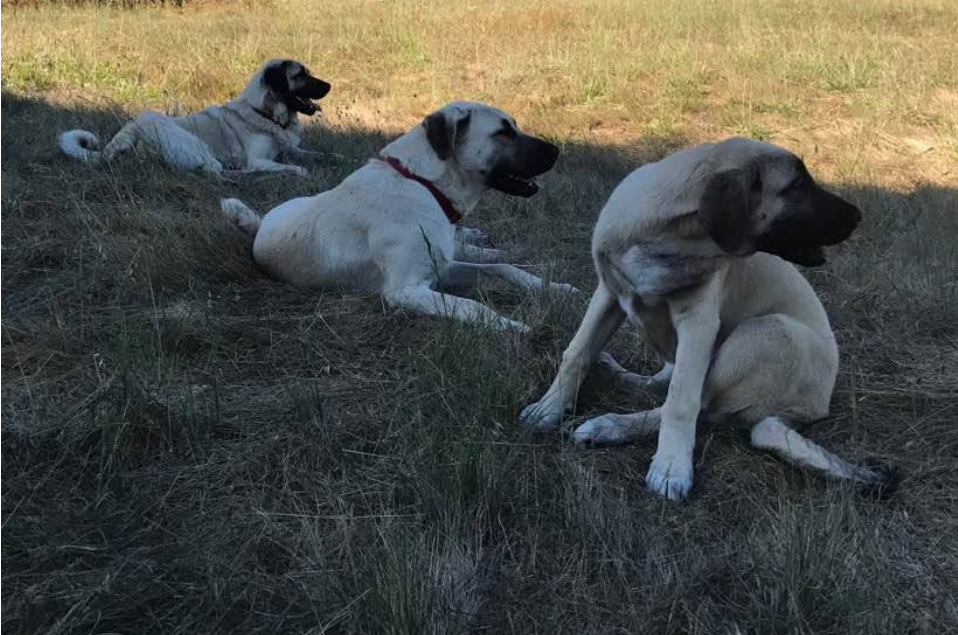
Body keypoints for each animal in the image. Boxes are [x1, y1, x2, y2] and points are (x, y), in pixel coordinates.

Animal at [60, 58, 332, 178]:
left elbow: (319, 155)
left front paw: (334, 158)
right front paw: (297, 171)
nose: (330, 85)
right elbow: (298, 167)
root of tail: (122, 136)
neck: (264, 113)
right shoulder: (258, 159)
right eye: (300, 75)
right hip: (188, 139)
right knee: (214, 171)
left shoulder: (291, 150)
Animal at [516, 139, 900, 502]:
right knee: (666, 381)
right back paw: (622, 376)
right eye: (796, 186)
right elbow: (576, 354)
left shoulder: (699, 321)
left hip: (769, 331)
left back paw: (609, 427)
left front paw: (671, 467)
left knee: (700, 406)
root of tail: (815, 407)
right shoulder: (608, 293)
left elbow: (681, 401)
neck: (668, 239)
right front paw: (549, 408)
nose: (858, 215)